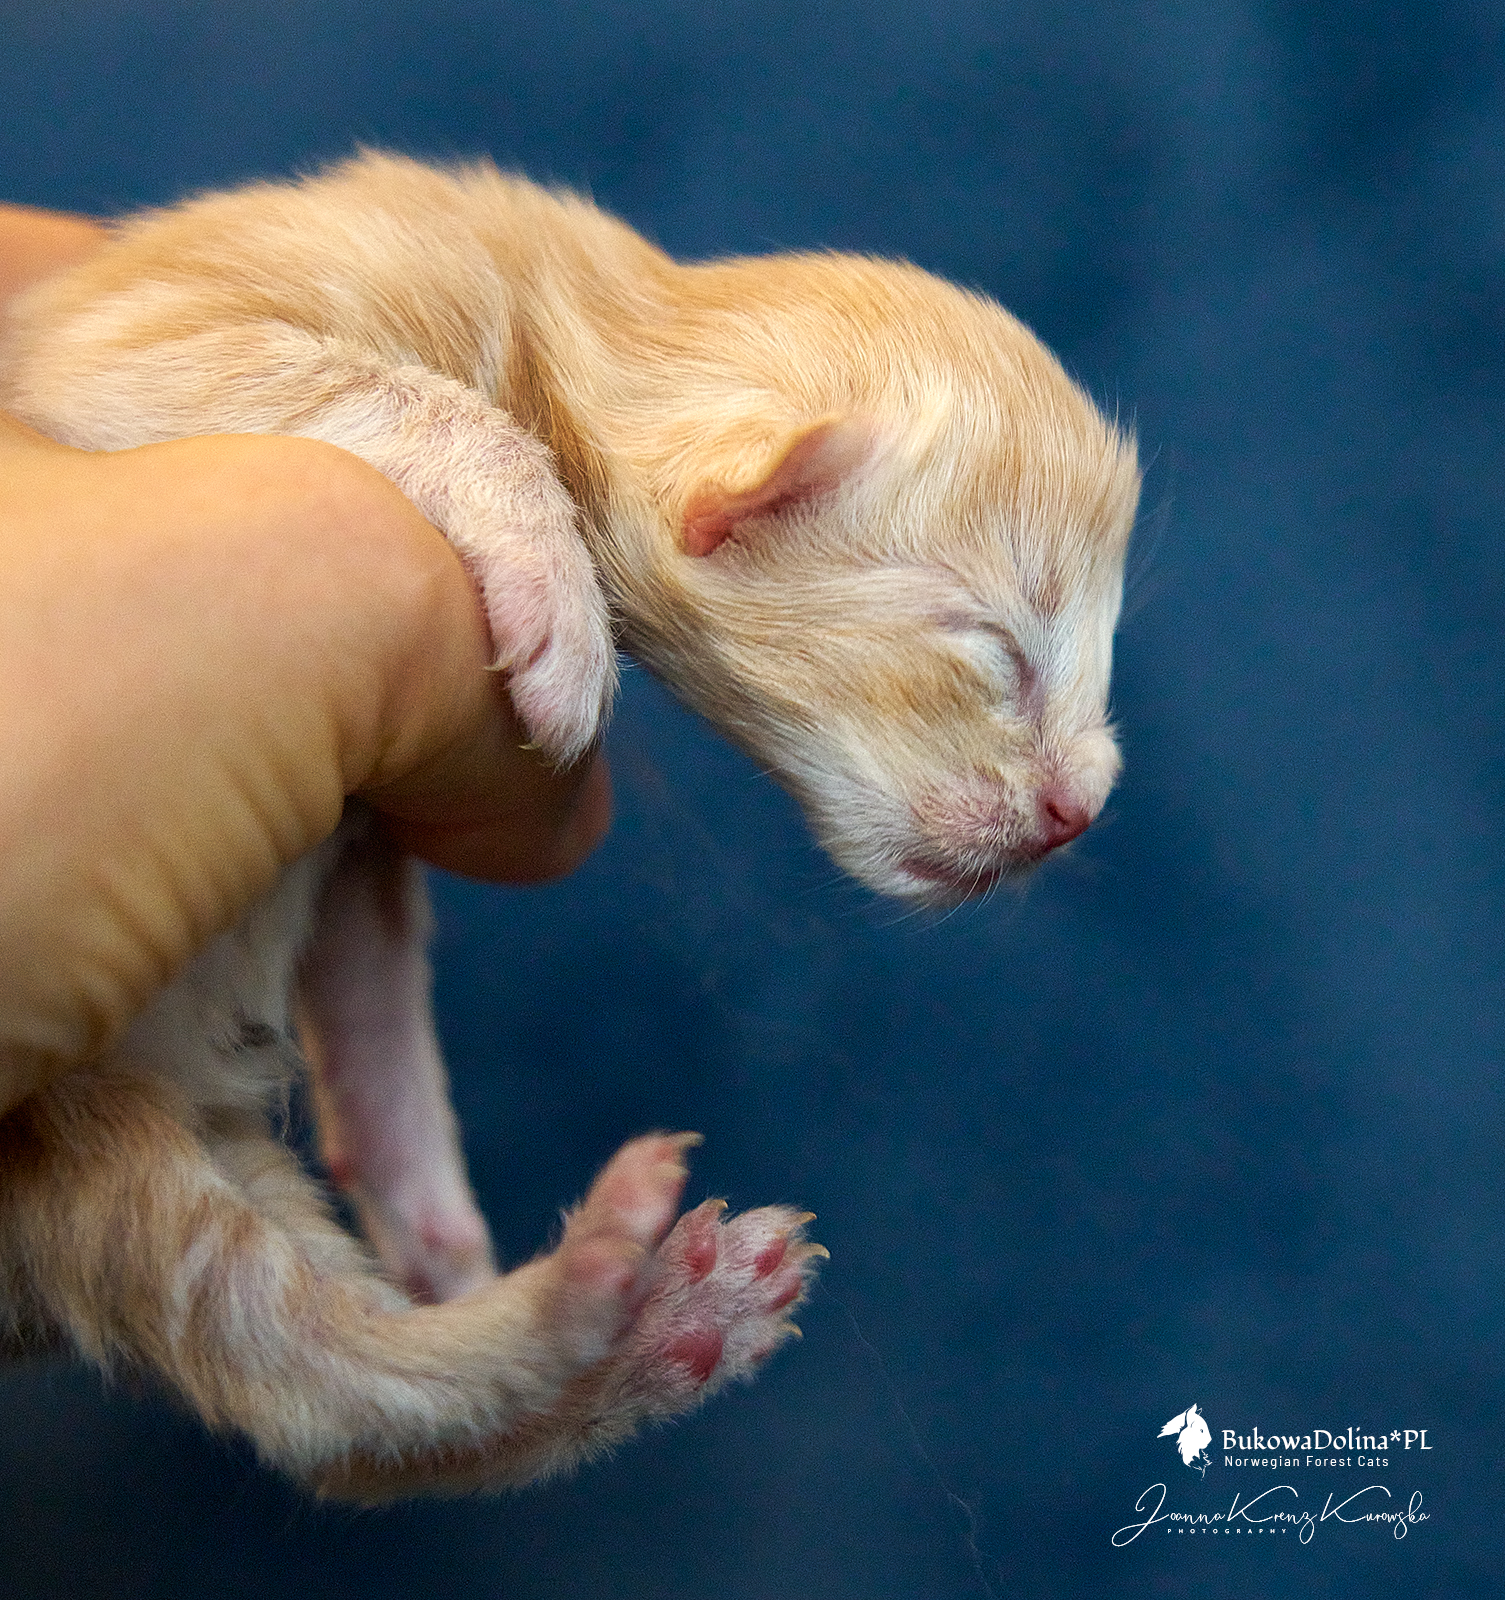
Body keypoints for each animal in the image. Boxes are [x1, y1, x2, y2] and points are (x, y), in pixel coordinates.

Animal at [0, 151, 1139, 1499]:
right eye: (995, 647)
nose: (1080, 810)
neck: (551, 308)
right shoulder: (129, 337)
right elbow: (438, 410)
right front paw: (554, 588)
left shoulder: (362, 828)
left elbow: (374, 991)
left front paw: (424, 1193)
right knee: (317, 1371)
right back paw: (589, 1288)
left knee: (352, 1425)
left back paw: (651, 1325)